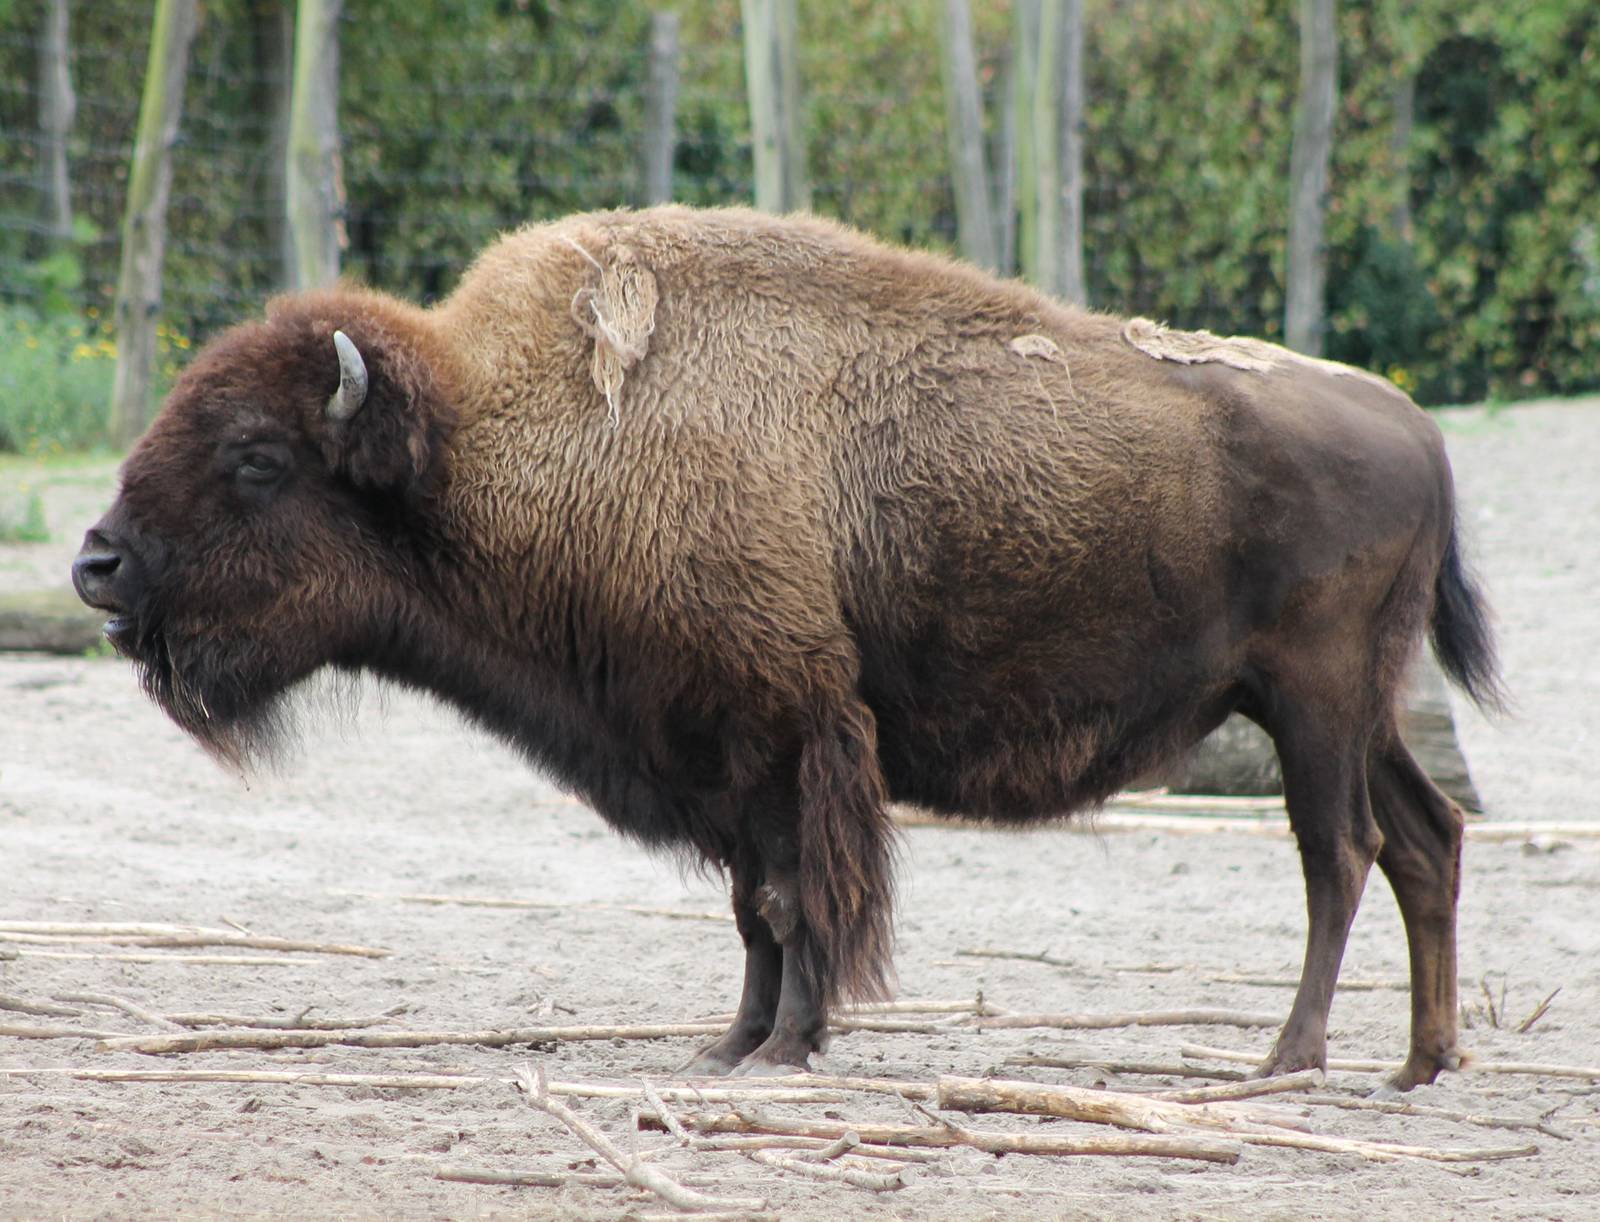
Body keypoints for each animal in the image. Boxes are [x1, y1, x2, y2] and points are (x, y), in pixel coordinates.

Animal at [73, 206, 1501, 1088]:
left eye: (256, 458)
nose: (96, 563)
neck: (495, 442)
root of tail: (1421, 430)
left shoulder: (786, 733)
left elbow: (797, 897)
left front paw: (785, 1047)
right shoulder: (712, 754)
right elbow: (752, 909)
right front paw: (733, 1041)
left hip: (1312, 705)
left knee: (1339, 855)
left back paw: (1289, 1059)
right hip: (1358, 710)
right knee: (1426, 838)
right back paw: (1417, 1061)